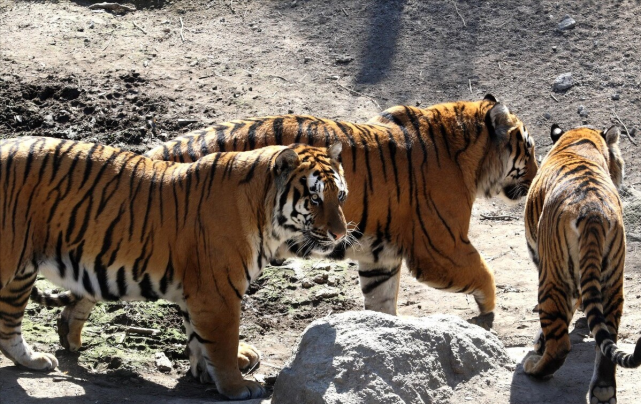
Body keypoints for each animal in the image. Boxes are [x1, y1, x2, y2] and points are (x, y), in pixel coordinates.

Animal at [0, 137, 348, 400]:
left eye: (341, 196)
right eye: (315, 199)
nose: (341, 234)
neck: (265, 214)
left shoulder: (198, 291)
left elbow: (199, 338)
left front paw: (204, 373)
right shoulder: (218, 294)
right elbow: (223, 342)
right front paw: (236, 386)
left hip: (22, 273)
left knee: (15, 324)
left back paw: (44, 354)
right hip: (12, 264)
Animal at [524, 124, 636, 402]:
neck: (581, 139)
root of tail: (593, 211)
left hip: (551, 277)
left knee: (559, 345)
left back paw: (535, 368)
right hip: (612, 279)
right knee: (608, 340)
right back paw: (603, 391)